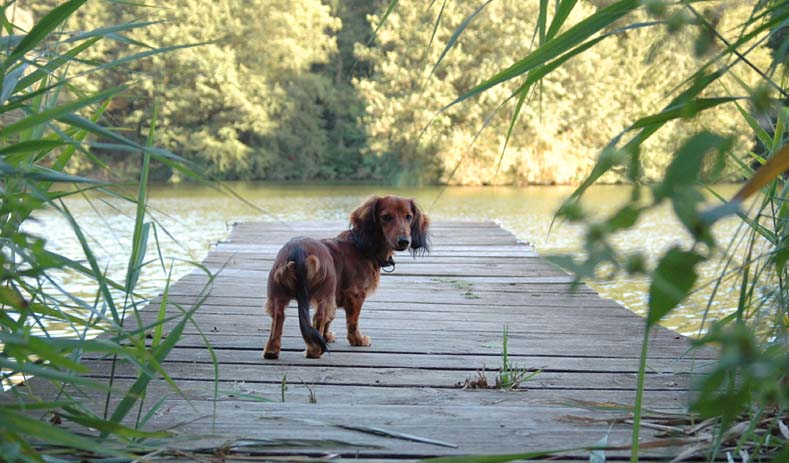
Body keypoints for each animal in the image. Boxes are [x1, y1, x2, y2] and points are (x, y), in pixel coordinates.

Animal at [262, 195, 428, 358]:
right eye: (386, 217)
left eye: (408, 217)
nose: (404, 241)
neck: (363, 244)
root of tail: (299, 253)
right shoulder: (355, 295)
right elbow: (352, 322)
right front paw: (358, 340)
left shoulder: (336, 297)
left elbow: (330, 318)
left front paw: (326, 336)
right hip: (325, 294)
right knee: (318, 317)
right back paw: (315, 351)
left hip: (278, 296)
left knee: (278, 318)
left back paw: (271, 351)